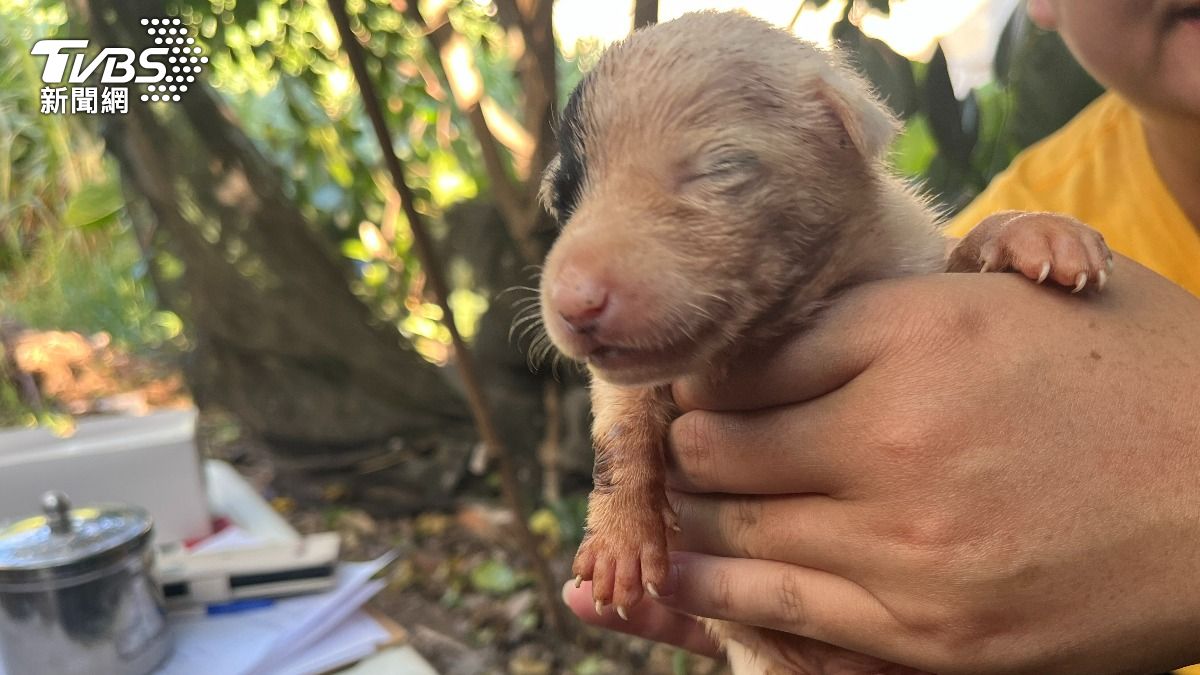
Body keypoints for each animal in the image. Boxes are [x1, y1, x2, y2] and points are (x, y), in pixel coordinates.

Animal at [540, 11, 1108, 672]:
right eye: (564, 200)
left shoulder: (913, 265)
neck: (767, 330)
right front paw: (619, 535)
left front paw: (1034, 231)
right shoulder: (634, 383)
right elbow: (621, 424)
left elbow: (966, 248)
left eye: (719, 169)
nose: (573, 304)